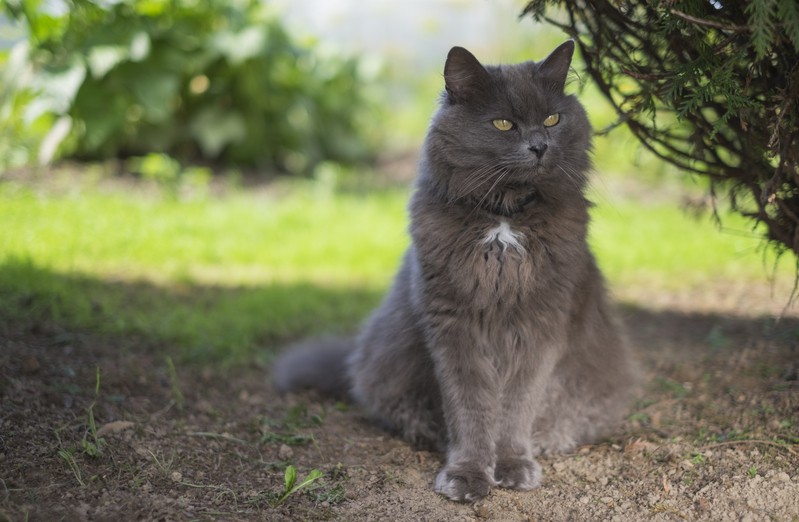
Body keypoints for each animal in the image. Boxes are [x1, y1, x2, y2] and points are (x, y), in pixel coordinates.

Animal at [274, 41, 636, 500]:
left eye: (553, 119)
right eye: (503, 123)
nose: (539, 145)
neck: (504, 219)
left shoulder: (541, 323)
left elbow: (517, 405)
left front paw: (513, 466)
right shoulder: (453, 324)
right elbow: (470, 406)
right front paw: (467, 474)